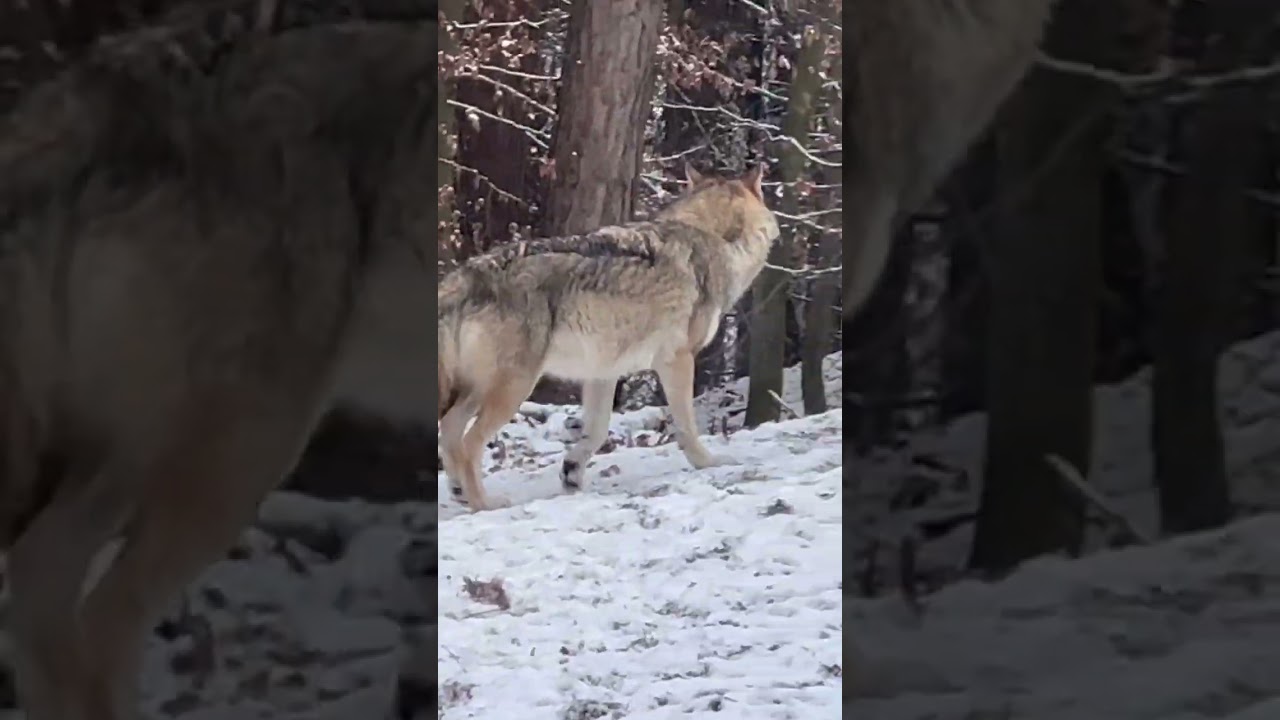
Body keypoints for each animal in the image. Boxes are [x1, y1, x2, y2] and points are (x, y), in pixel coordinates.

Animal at [437, 164, 780, 511]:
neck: (714, 236)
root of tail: (464, 277)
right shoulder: (678, 359)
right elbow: (686, 425)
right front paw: (707, 462)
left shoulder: (602, 372)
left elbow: (597, 431)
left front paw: (572, 472)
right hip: (513, 388)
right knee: (469, 442)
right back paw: (484, 503)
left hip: (477, 390)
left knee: (449, 431)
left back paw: (460, 492)